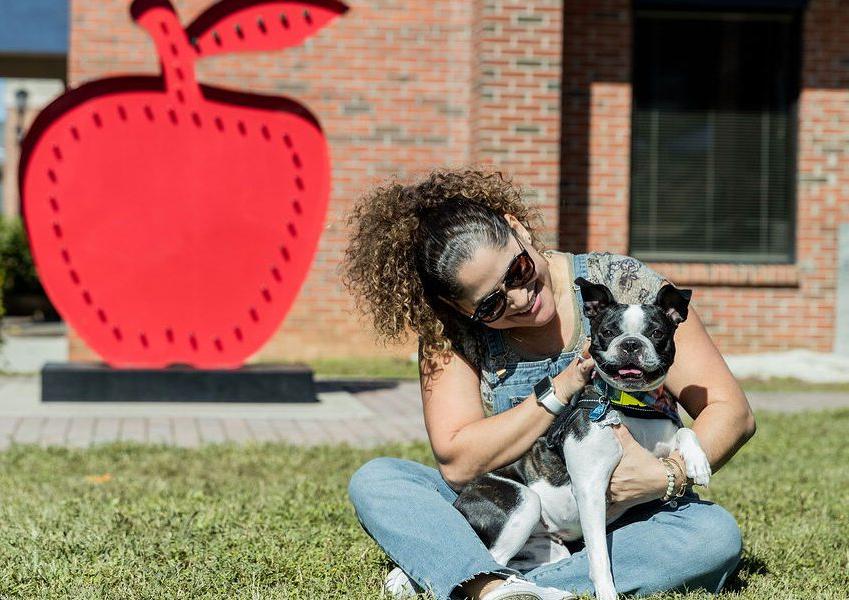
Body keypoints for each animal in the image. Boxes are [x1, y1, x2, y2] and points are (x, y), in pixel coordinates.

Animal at [454, 278, 712, 600]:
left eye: (656, 333)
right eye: (608, 332)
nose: (631, 343)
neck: (628, 403)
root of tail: (460, 499)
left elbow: (685, 430)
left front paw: (698, 463)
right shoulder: (591, 489)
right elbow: (599, 557)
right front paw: (607, 593)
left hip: (548, 548)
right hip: (522, 502)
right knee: (491, 562)